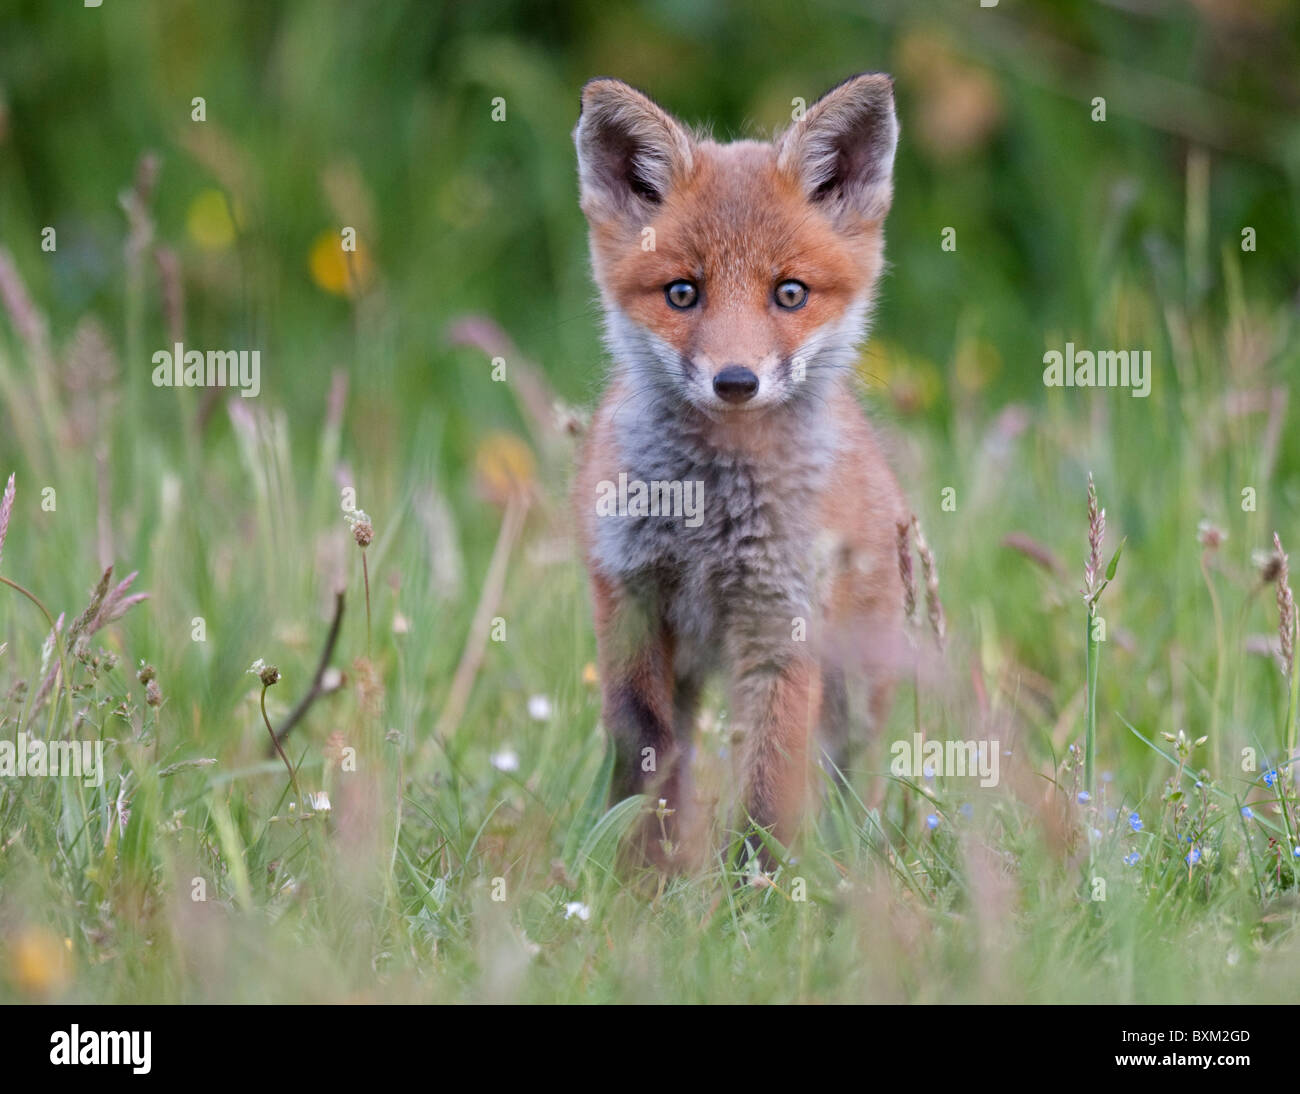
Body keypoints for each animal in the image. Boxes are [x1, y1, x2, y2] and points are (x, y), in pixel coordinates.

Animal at [574, 72, 909, 867]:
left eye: (789, 293)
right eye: (681, 293)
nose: (735, 381)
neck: (710, 515)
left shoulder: (781, 628)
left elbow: (766, 794)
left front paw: (759, 891)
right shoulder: (628, 601)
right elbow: (645, 759)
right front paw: (645, 880)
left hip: (855, 690)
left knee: (844, 778)